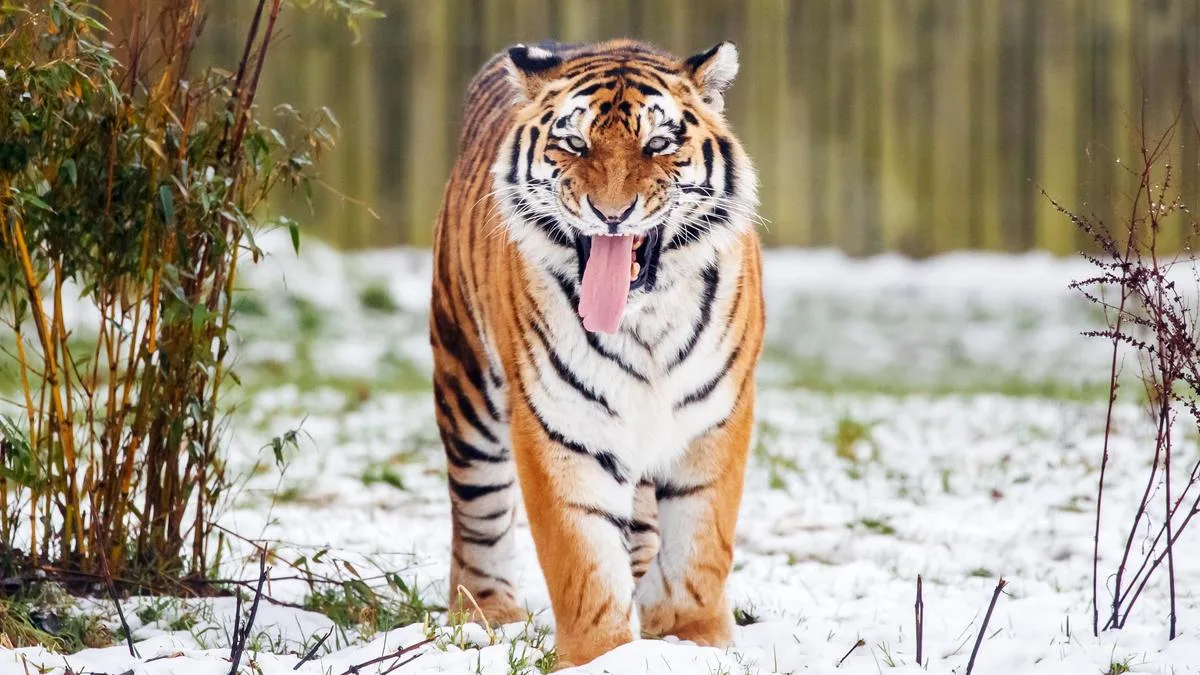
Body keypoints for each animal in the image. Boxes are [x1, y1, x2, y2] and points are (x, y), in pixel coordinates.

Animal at [429, 39, 764, 668]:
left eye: (658, 144)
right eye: (574, 143)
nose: (612, 213)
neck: (644, 320)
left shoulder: (715, 416)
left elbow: (700, 543)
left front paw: (694, 639)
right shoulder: (560, 424)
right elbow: (583, 559)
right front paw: (602, 657)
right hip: (466, 383)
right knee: (478, 510)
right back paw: (487, 614)